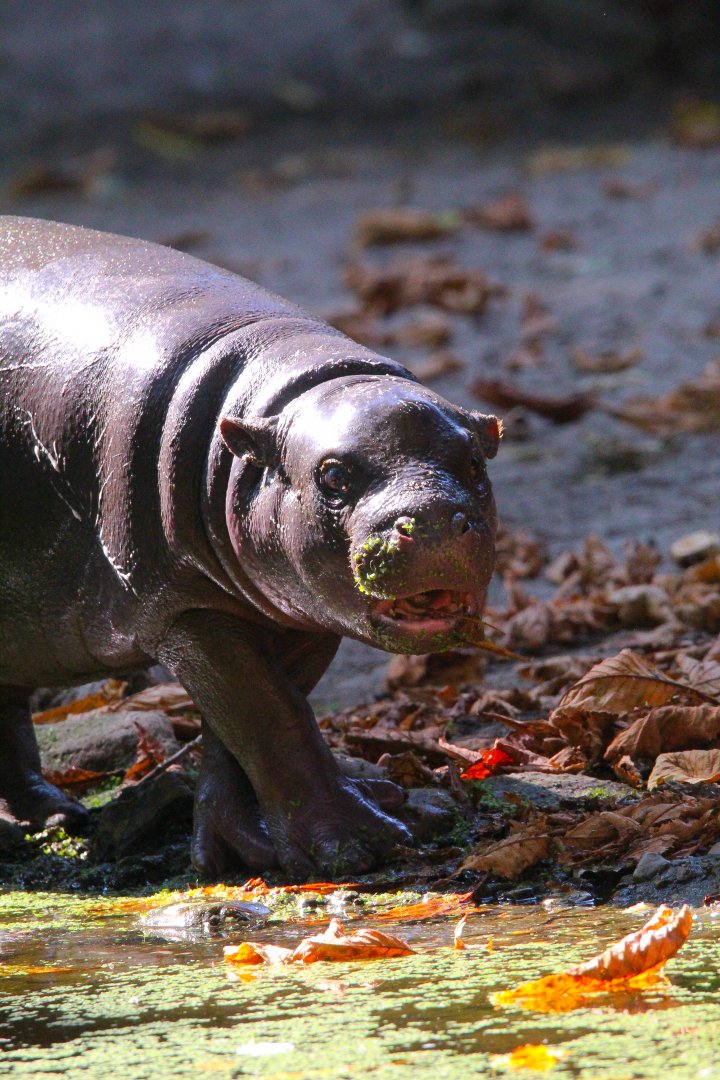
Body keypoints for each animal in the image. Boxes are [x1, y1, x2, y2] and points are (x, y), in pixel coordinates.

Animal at [0, 216, 500, 879]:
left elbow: (241, 728)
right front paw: (353, 846)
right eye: (332, 475)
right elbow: (268, 715)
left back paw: (57, 816)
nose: (436, 518)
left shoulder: (295, 611)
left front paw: (248, 849)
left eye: (474, 461)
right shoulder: (183, 604)